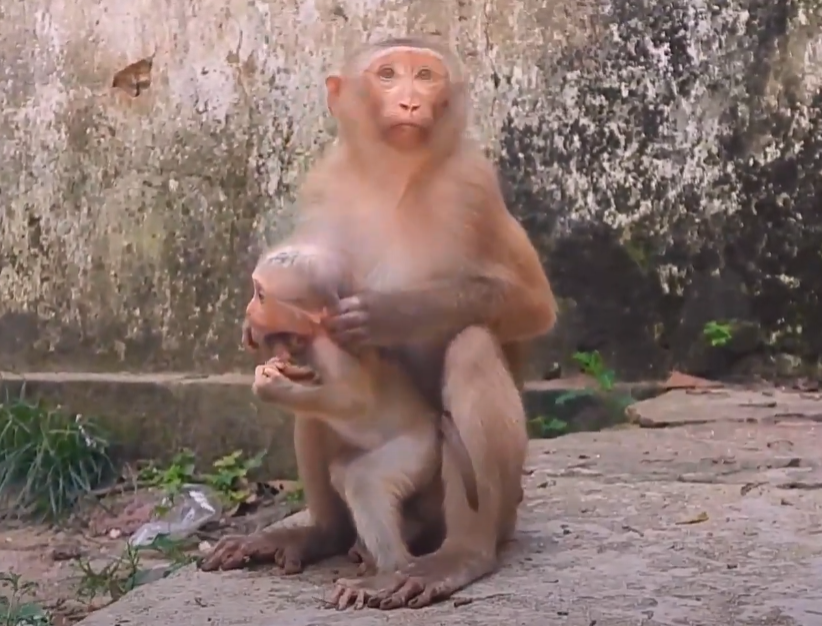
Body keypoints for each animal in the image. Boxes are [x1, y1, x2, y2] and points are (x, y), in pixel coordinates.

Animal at [201, 36, 557, 611]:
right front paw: (259, 331)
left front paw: (383, 316)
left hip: (467, 497)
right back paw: (323, 533)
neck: (394, 175)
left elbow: (533, 304)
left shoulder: (474, 185)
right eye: (388, 74)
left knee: (472, 347)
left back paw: (461, 555)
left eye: (426, 75)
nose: (410, 101)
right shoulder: (325, 184)